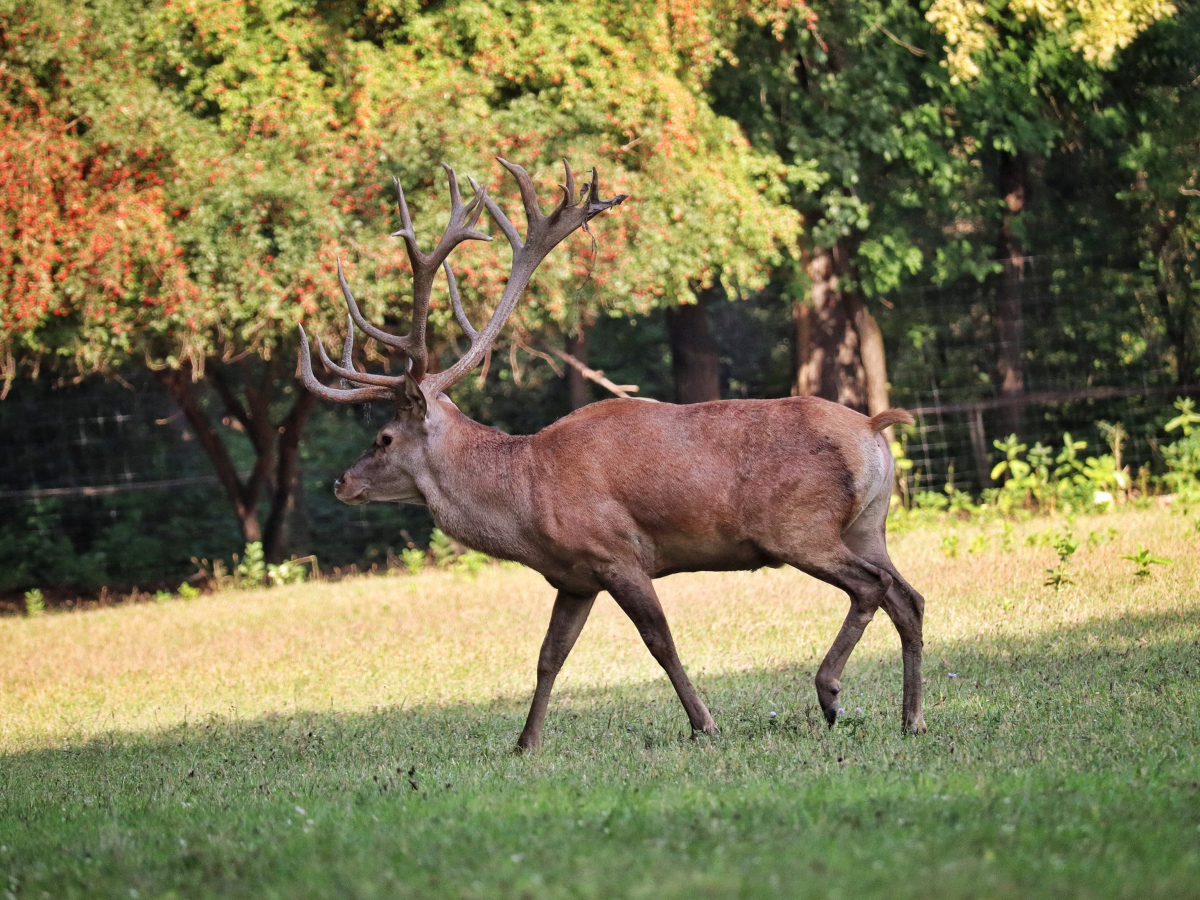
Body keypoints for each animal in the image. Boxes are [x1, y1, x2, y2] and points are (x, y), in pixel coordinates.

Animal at [297, 158, 926, 748]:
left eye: (383, 438)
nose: (341, 483)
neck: (525, 501)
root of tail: (874, 428)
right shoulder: (574, 577)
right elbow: (549, 656)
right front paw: (525, 743)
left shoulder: (615, 553)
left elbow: (660, 642)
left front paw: (704, 724)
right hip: (867, 525)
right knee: (909, 595)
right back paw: (912, 719)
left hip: (799, 526)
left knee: (873, 587)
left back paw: (831, 694)